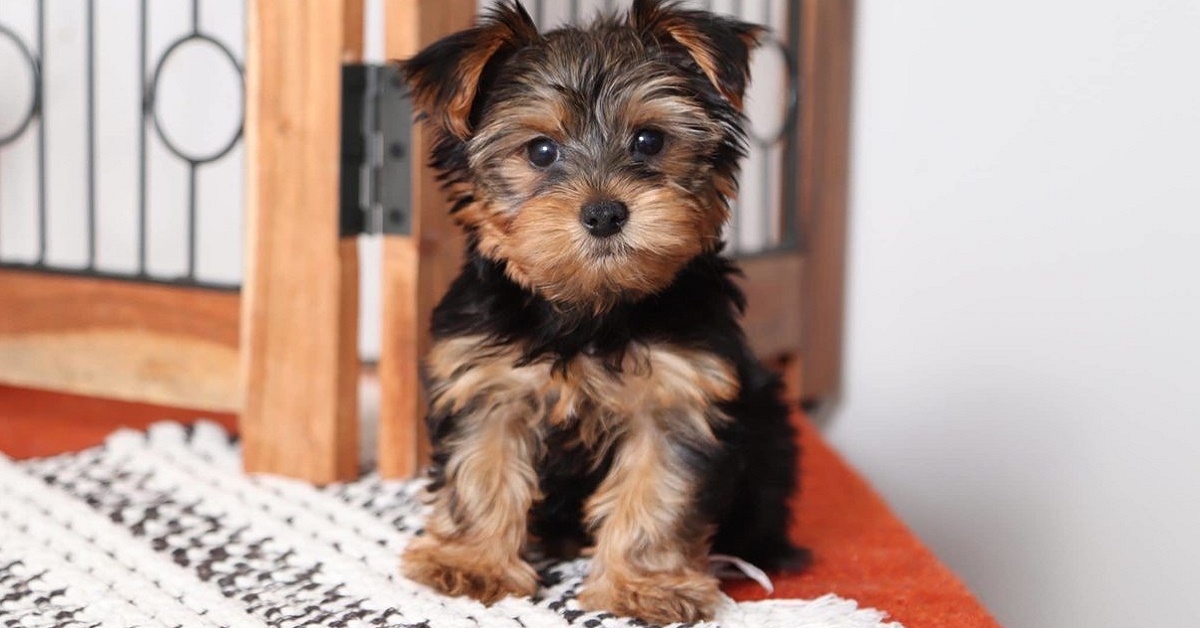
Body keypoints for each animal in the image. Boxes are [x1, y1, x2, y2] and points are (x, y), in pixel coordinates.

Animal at [398, 0, 801, 624]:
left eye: (649, 140)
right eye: (540, 151)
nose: (605, 212)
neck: (589, 307)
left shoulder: (677, 392)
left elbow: (658, 488)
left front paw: (645, 585)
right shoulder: (487, 380)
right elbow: (482, 466)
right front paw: (471, 565)